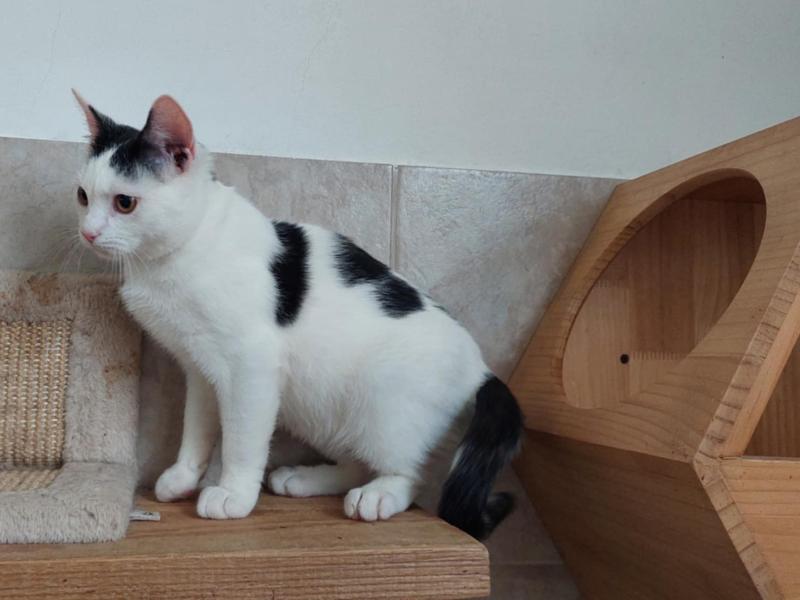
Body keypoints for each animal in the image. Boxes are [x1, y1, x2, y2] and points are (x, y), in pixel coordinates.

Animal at [71, 91, 523, 539]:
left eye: (125, 202)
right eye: (83, 196)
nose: (87, 233)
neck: (183, 250)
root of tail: (481, 368)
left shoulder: (250, 365)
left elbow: (241, 440)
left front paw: (233, 494)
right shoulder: (200, 368)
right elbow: (196, 427)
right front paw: (183, 477)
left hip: (381, 405)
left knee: (409, 473)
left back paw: (378, 495)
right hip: (320, 405)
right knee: (357, 461)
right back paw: (304, 479)